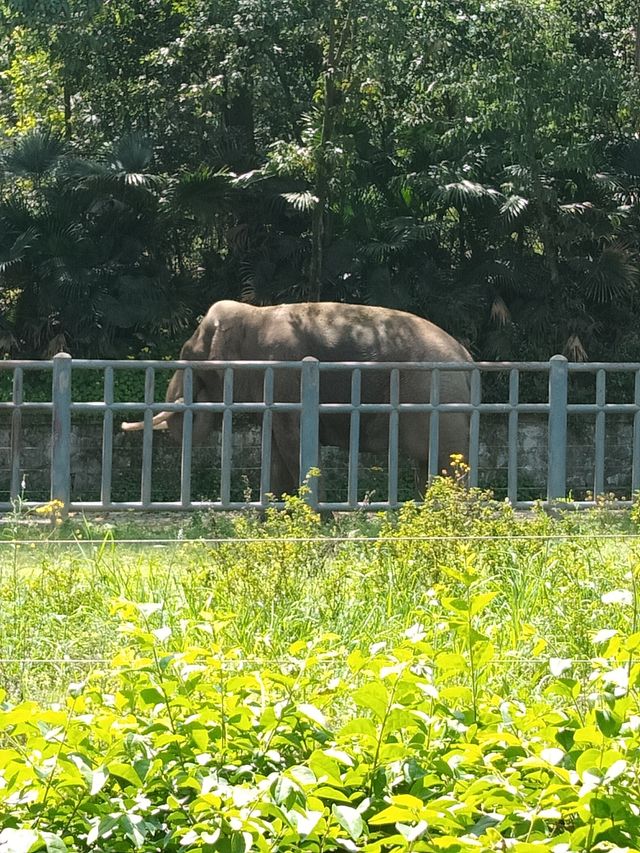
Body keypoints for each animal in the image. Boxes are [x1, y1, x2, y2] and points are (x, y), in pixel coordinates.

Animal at [122, 302, 472, 496]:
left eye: (190, 357)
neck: (255, 314)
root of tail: (465, 357)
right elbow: (275, 449)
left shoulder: (285, 371)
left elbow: (293, 441)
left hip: (440, 403)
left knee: (447, 463)